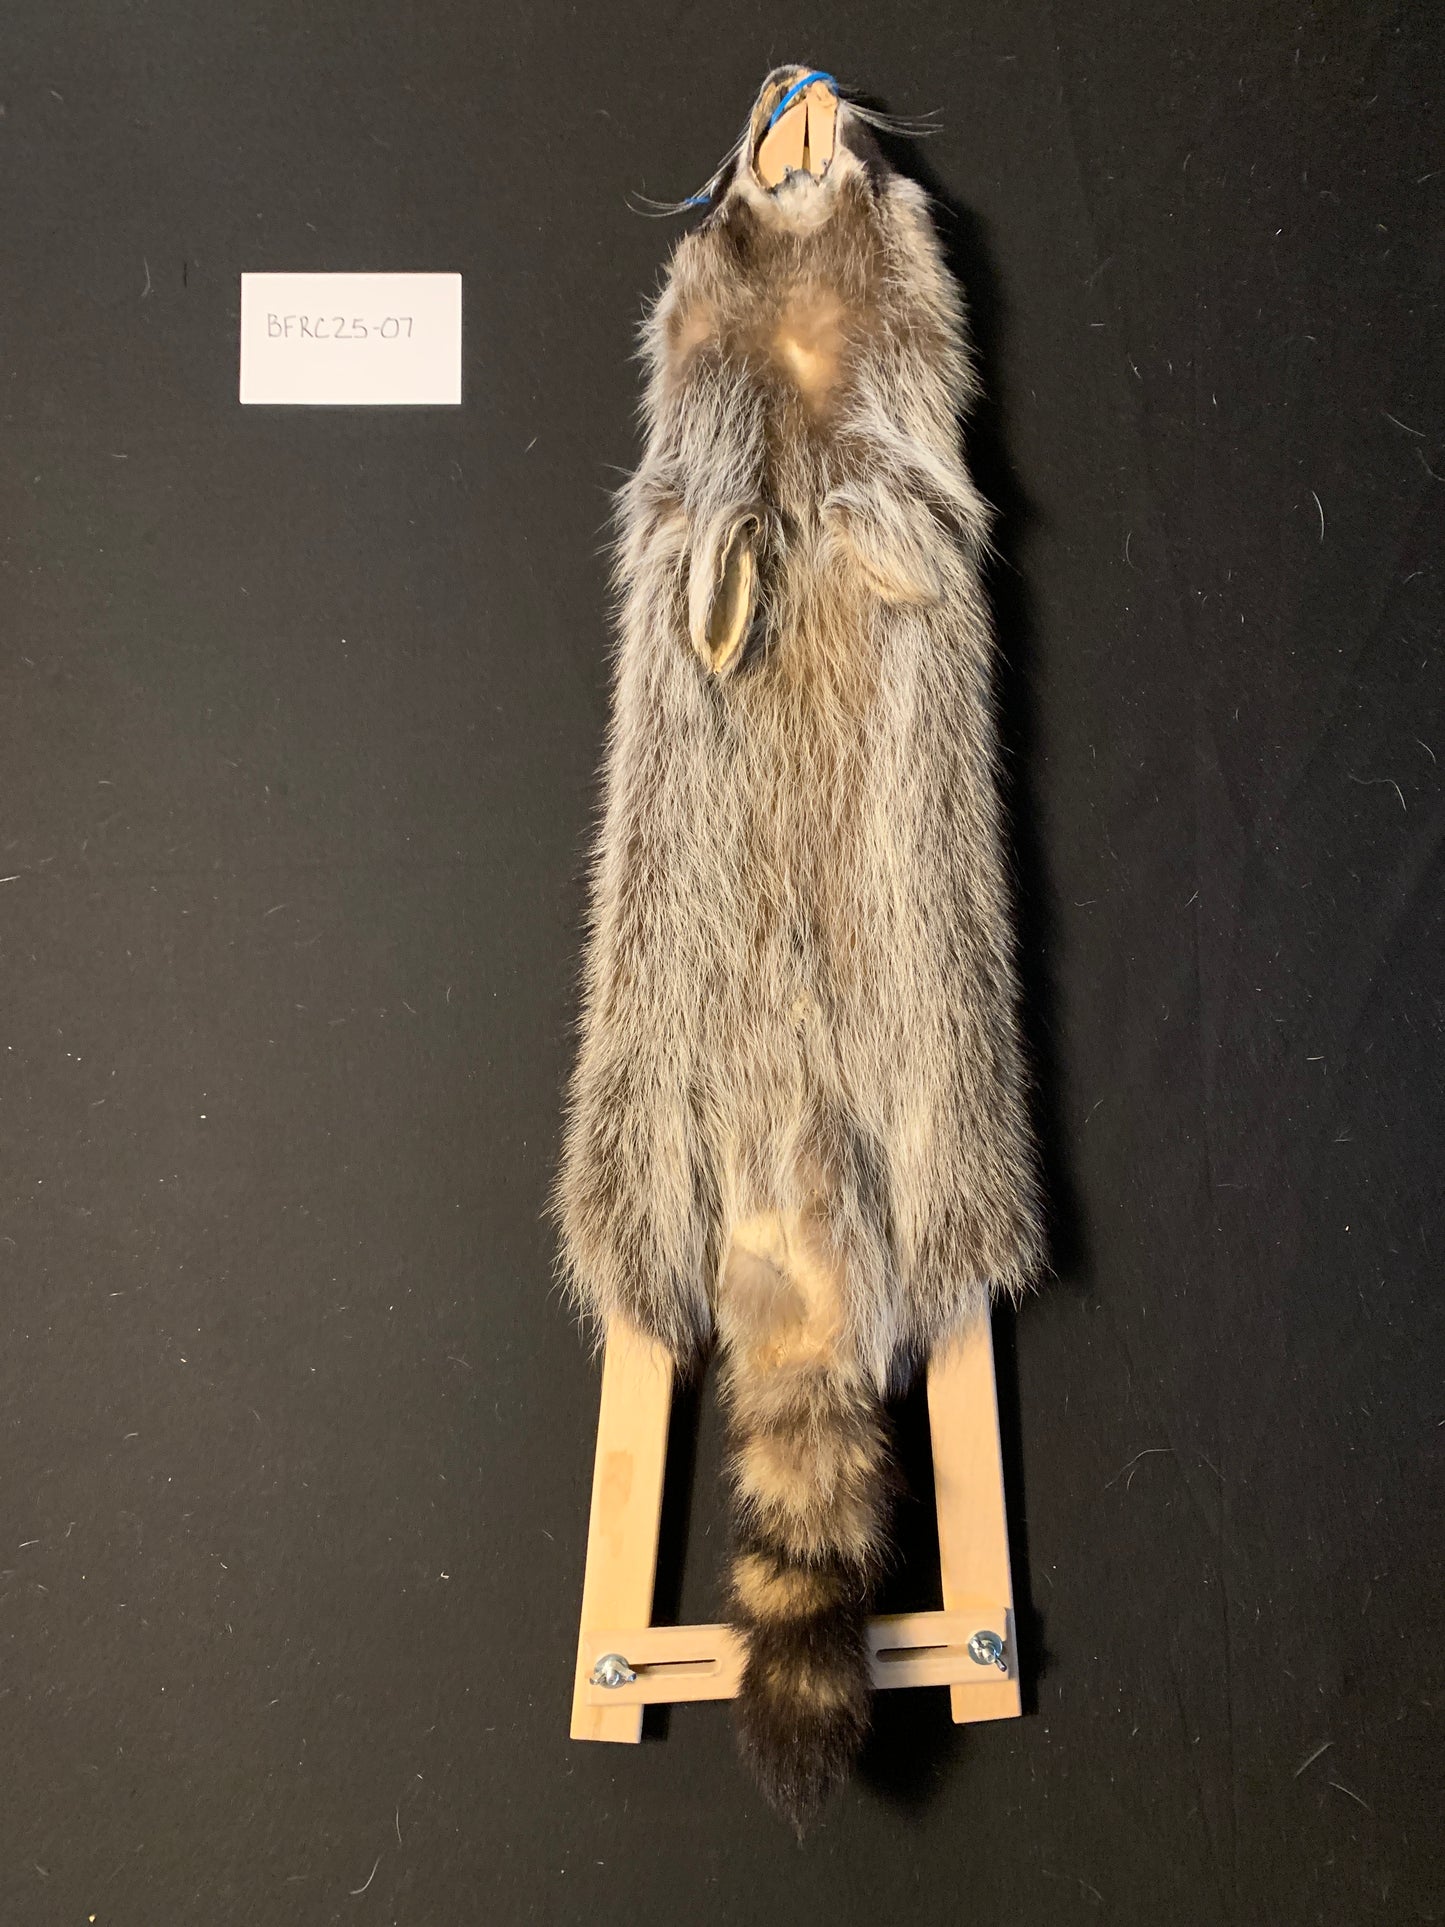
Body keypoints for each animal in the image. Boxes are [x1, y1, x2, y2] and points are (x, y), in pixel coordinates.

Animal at [554, 66, 1044, 1828]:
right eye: (738, 150)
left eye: (856, 133)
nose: (794, 79)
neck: (793, 296)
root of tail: (789, 1177)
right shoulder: (692, 416)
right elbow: (698, 506)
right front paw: (729, 551)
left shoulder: (914, 403)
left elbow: (906, 491)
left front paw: (844, 513)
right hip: (640, 1085)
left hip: (945, 1072)